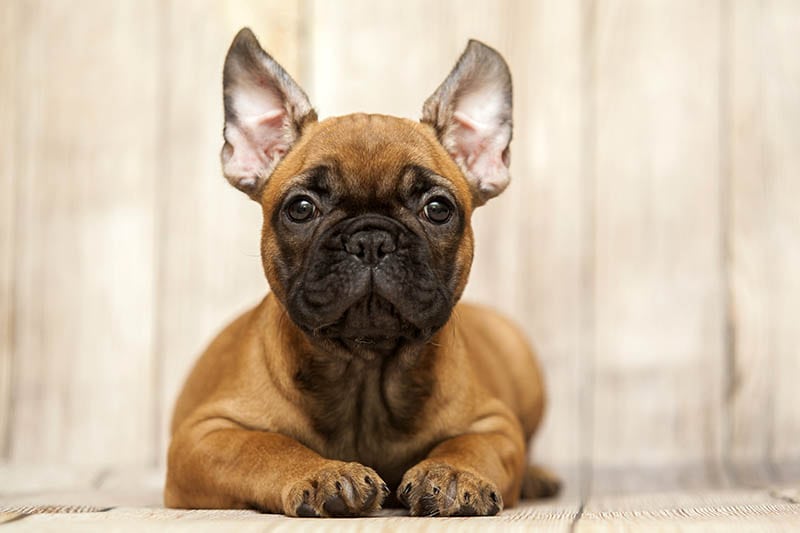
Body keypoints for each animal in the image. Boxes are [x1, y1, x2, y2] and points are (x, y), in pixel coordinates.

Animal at [166, 28, 560, 516]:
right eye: (301, 208)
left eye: (437, 209)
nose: (371, 239)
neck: (365, 370)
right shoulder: (203, 435)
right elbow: (265, 446)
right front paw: (323, 473)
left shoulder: (495, 423)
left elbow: (471, 444)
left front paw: (452, 473)